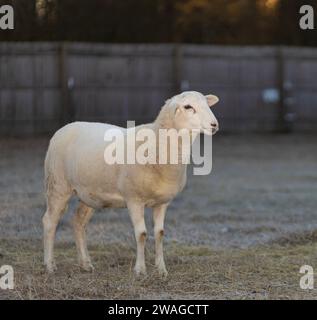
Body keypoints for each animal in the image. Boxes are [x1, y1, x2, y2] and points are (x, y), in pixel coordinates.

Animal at [42, 91, 217, 276]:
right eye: (188, 106)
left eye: (207, 104)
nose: (214, 124)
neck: (157, 145)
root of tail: (64, 128)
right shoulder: (134, 199)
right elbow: (141, 234)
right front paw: (140, 270)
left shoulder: (162, 202)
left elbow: (160, 233)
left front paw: (161, 269)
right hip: (58, 186)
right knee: (49, 221)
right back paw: (49, 265)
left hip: (89, 195)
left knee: (78, 222)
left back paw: (85, 264)